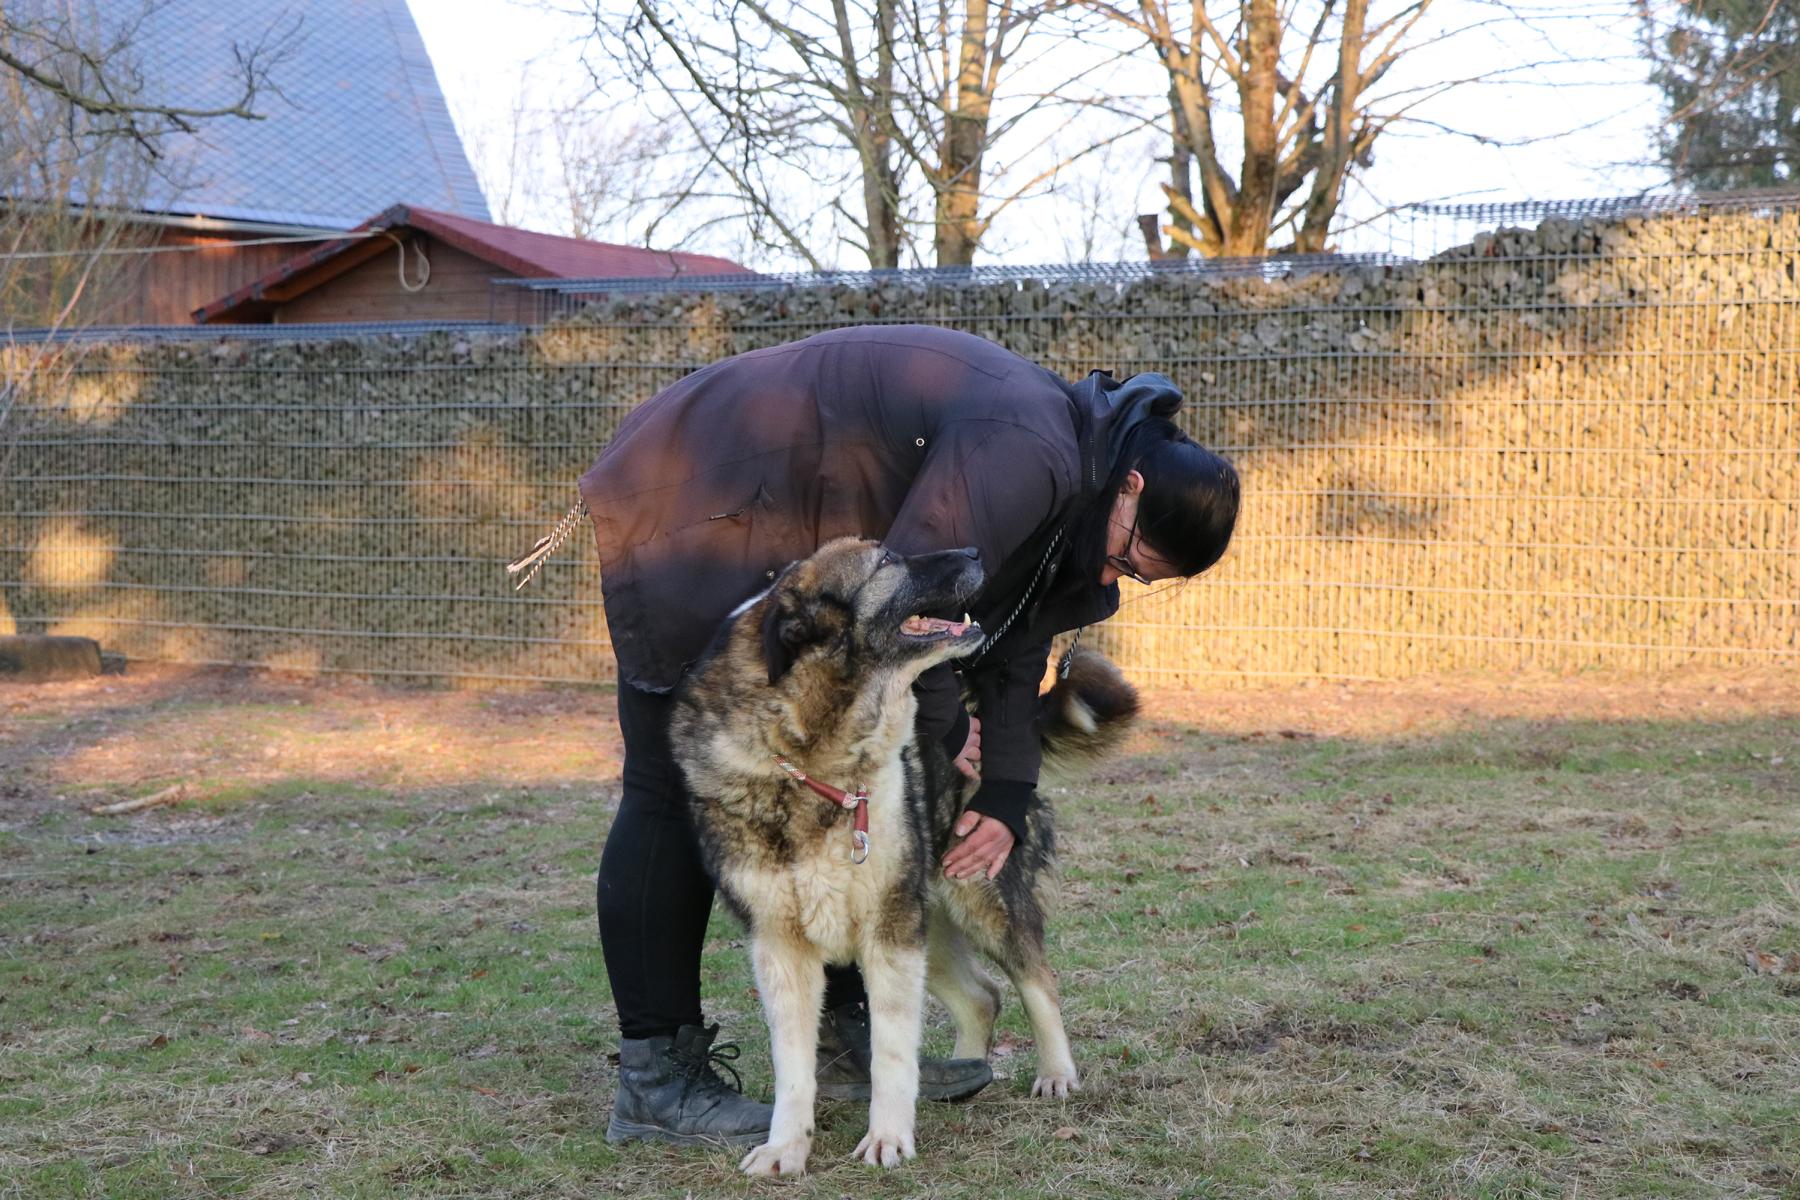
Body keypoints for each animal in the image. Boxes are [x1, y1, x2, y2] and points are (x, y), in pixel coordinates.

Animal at [668, 537, 1138, 1175]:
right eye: (887, 561)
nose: (974, 549)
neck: (815, 763)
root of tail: (981, 715)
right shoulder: (780, 947)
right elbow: (793, 1066)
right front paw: (786, 1147)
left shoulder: (889, 931)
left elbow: (891, 1051)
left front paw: (887, 1137)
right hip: (929, 926)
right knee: (982, 998)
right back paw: (967, 1070)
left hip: (976, 902)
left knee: (1037, 980)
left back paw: (1056, 1073)